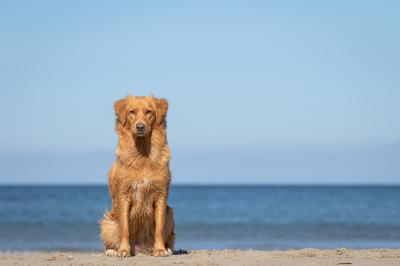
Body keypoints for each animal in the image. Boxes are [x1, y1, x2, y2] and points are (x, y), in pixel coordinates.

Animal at [99, 94, 174, 256]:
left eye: (149, 112)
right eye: (132, 112)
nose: (140, 127)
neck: (142, 153)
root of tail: (140, 248)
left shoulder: (161, 195)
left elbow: (159, 228)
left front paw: (160, 249)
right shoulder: (123, 195)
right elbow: (124, 228)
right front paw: (123, 250)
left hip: (170, 213)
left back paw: (163, 248)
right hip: (108, 222)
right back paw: (113, 250)